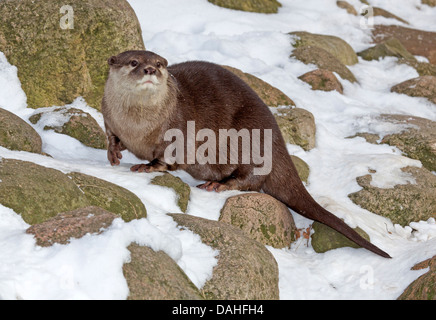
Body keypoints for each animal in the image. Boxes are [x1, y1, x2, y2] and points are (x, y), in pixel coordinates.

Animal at [102, 50, 392, 260]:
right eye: (134, 62)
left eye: (160, 64)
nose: (150, 70)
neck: (138, 125)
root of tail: (277, 140)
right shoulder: (109, 116)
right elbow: (111, 136)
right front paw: (113, 152)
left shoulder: (178, 130)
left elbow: (166, 158)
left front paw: (148, 166)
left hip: (247, 137)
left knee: (252, 178)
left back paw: (219, 184)